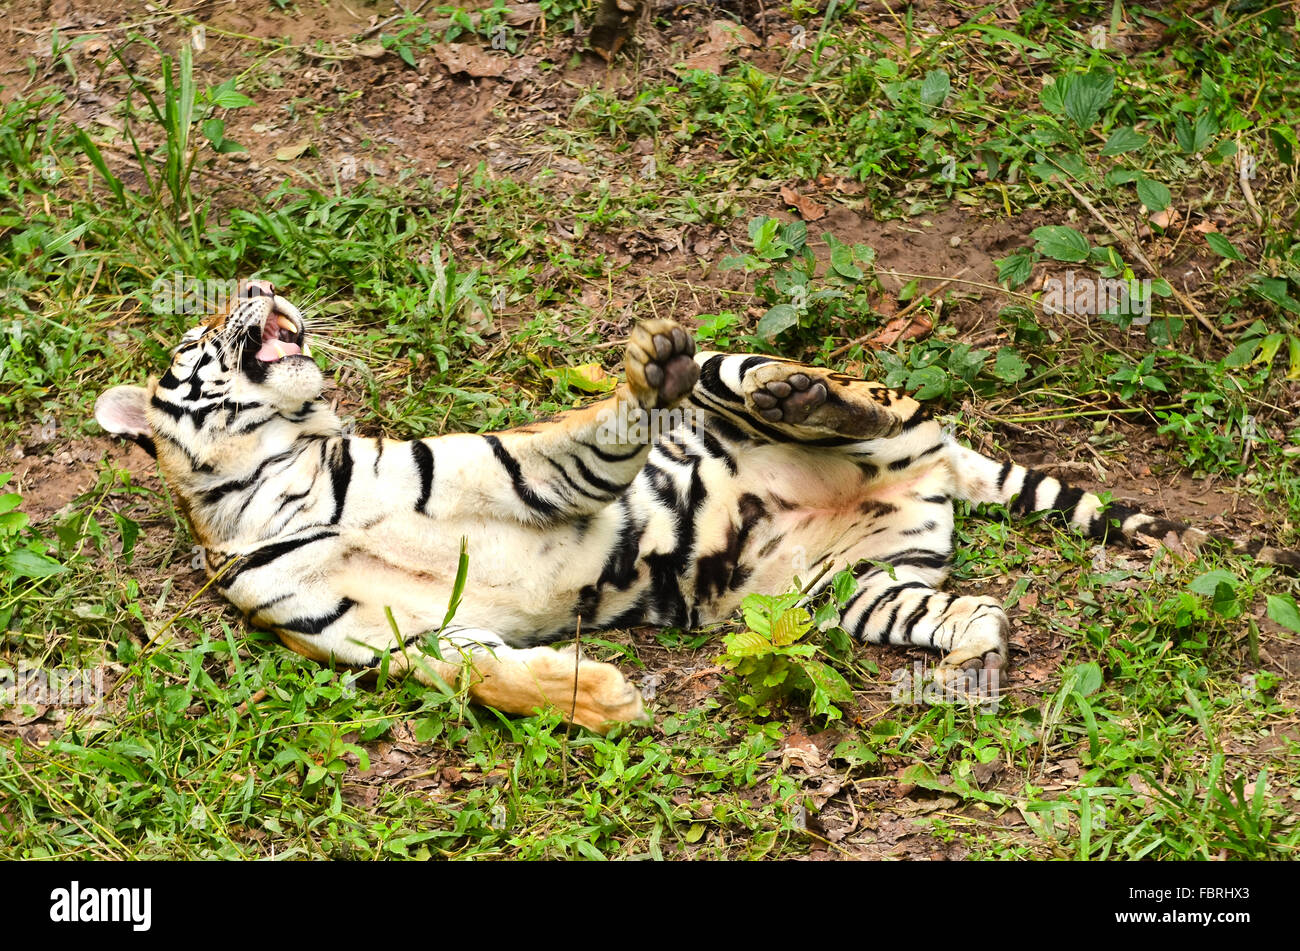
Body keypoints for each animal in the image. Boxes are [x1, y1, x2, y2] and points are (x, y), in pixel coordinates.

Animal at [94, 280, 1299, 731]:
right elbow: (482, 672)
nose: (260, 286)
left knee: (838, 394)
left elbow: (578, 441)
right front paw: (598, 700)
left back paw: (792, 393)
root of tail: (934, 469)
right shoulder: (377, 637)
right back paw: (968, 670)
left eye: (226, 303)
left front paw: (631, 379)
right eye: (203, 326)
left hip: (763, 369)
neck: (273, 482)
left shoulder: (508, 469)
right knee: (975, 610)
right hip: (866, 593)